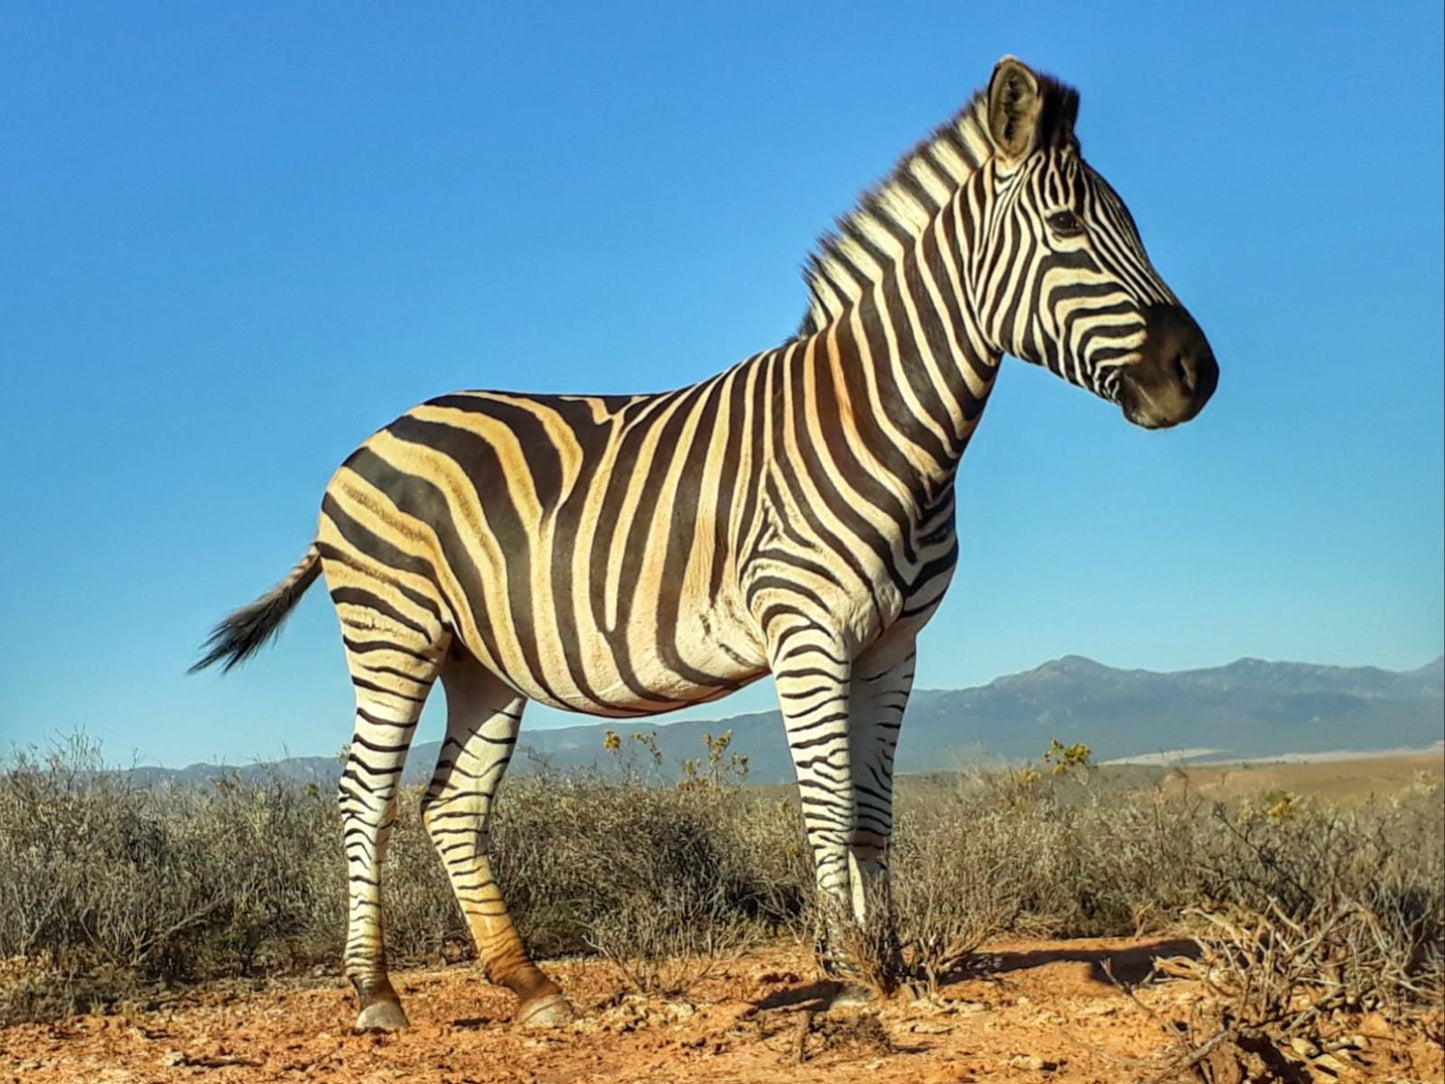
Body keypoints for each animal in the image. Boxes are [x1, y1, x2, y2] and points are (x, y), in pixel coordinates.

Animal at [192, 59, 1219, 1034]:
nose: (1198, 374)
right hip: (394, 630)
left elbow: (873, 815)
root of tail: (374, 438)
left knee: (452, 804)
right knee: (363, 791)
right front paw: (845, 975)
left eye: (1130, 224)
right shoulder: (806, 629)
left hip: (478, 658)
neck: (885, 425)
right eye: (1066, 228)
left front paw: (886, 965)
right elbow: (826, 804)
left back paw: (531, 986)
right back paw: (373, 993)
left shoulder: (894, 645)